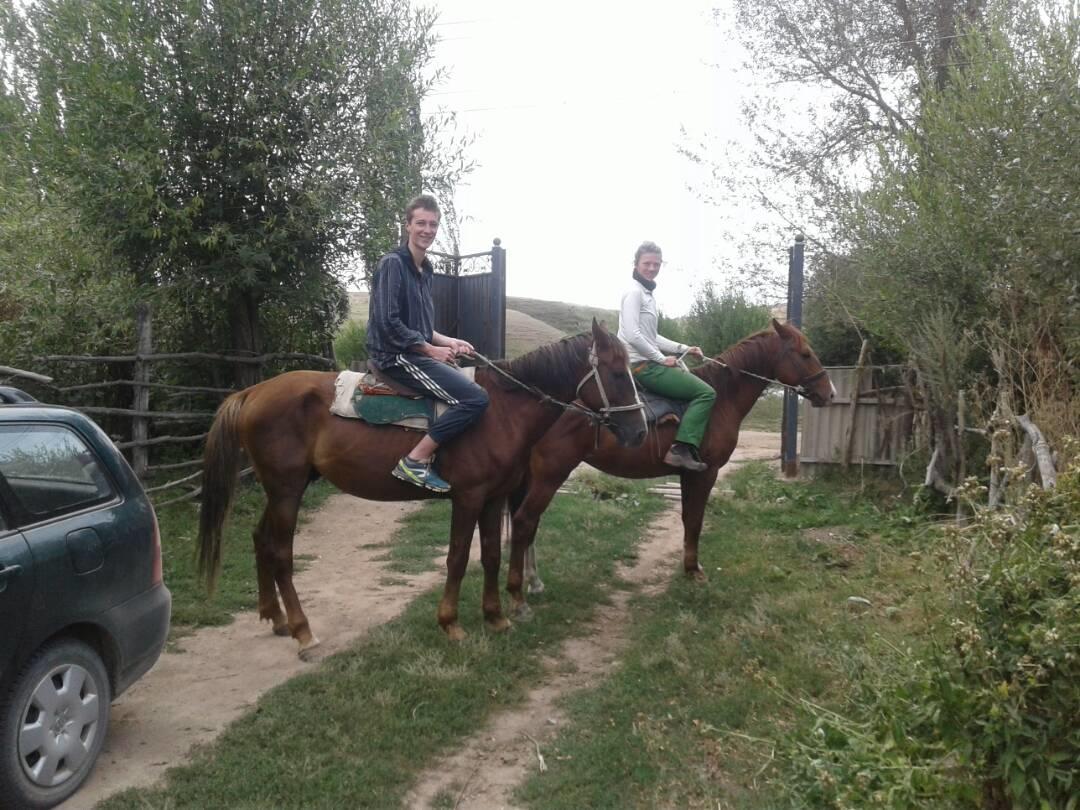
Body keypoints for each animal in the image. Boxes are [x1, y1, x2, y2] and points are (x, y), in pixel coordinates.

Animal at [198, 319, 643, 656]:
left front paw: (496, 617)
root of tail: (252, 392)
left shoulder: (494, 497)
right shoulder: (468, 498)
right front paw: (451, 624)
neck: (502, 411)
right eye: (617, 373)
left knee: (260, 540)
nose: (638, 430)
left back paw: (274, 618)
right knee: (281, 553)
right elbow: (458, 558)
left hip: (282, 489)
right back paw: (302, 631)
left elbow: (492, 555)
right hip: (287, 490)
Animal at [503, 319, 833, 617]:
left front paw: (690, 567)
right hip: (550, 474)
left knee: (530, 523)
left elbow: (688, 520)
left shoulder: (689, 476)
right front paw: (693, 571)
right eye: (805, 354)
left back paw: (534, 581)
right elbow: (695, 521)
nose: (829, 393)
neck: (722, 397)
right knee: (525, 521)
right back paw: (519, 597)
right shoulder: (705, 473)